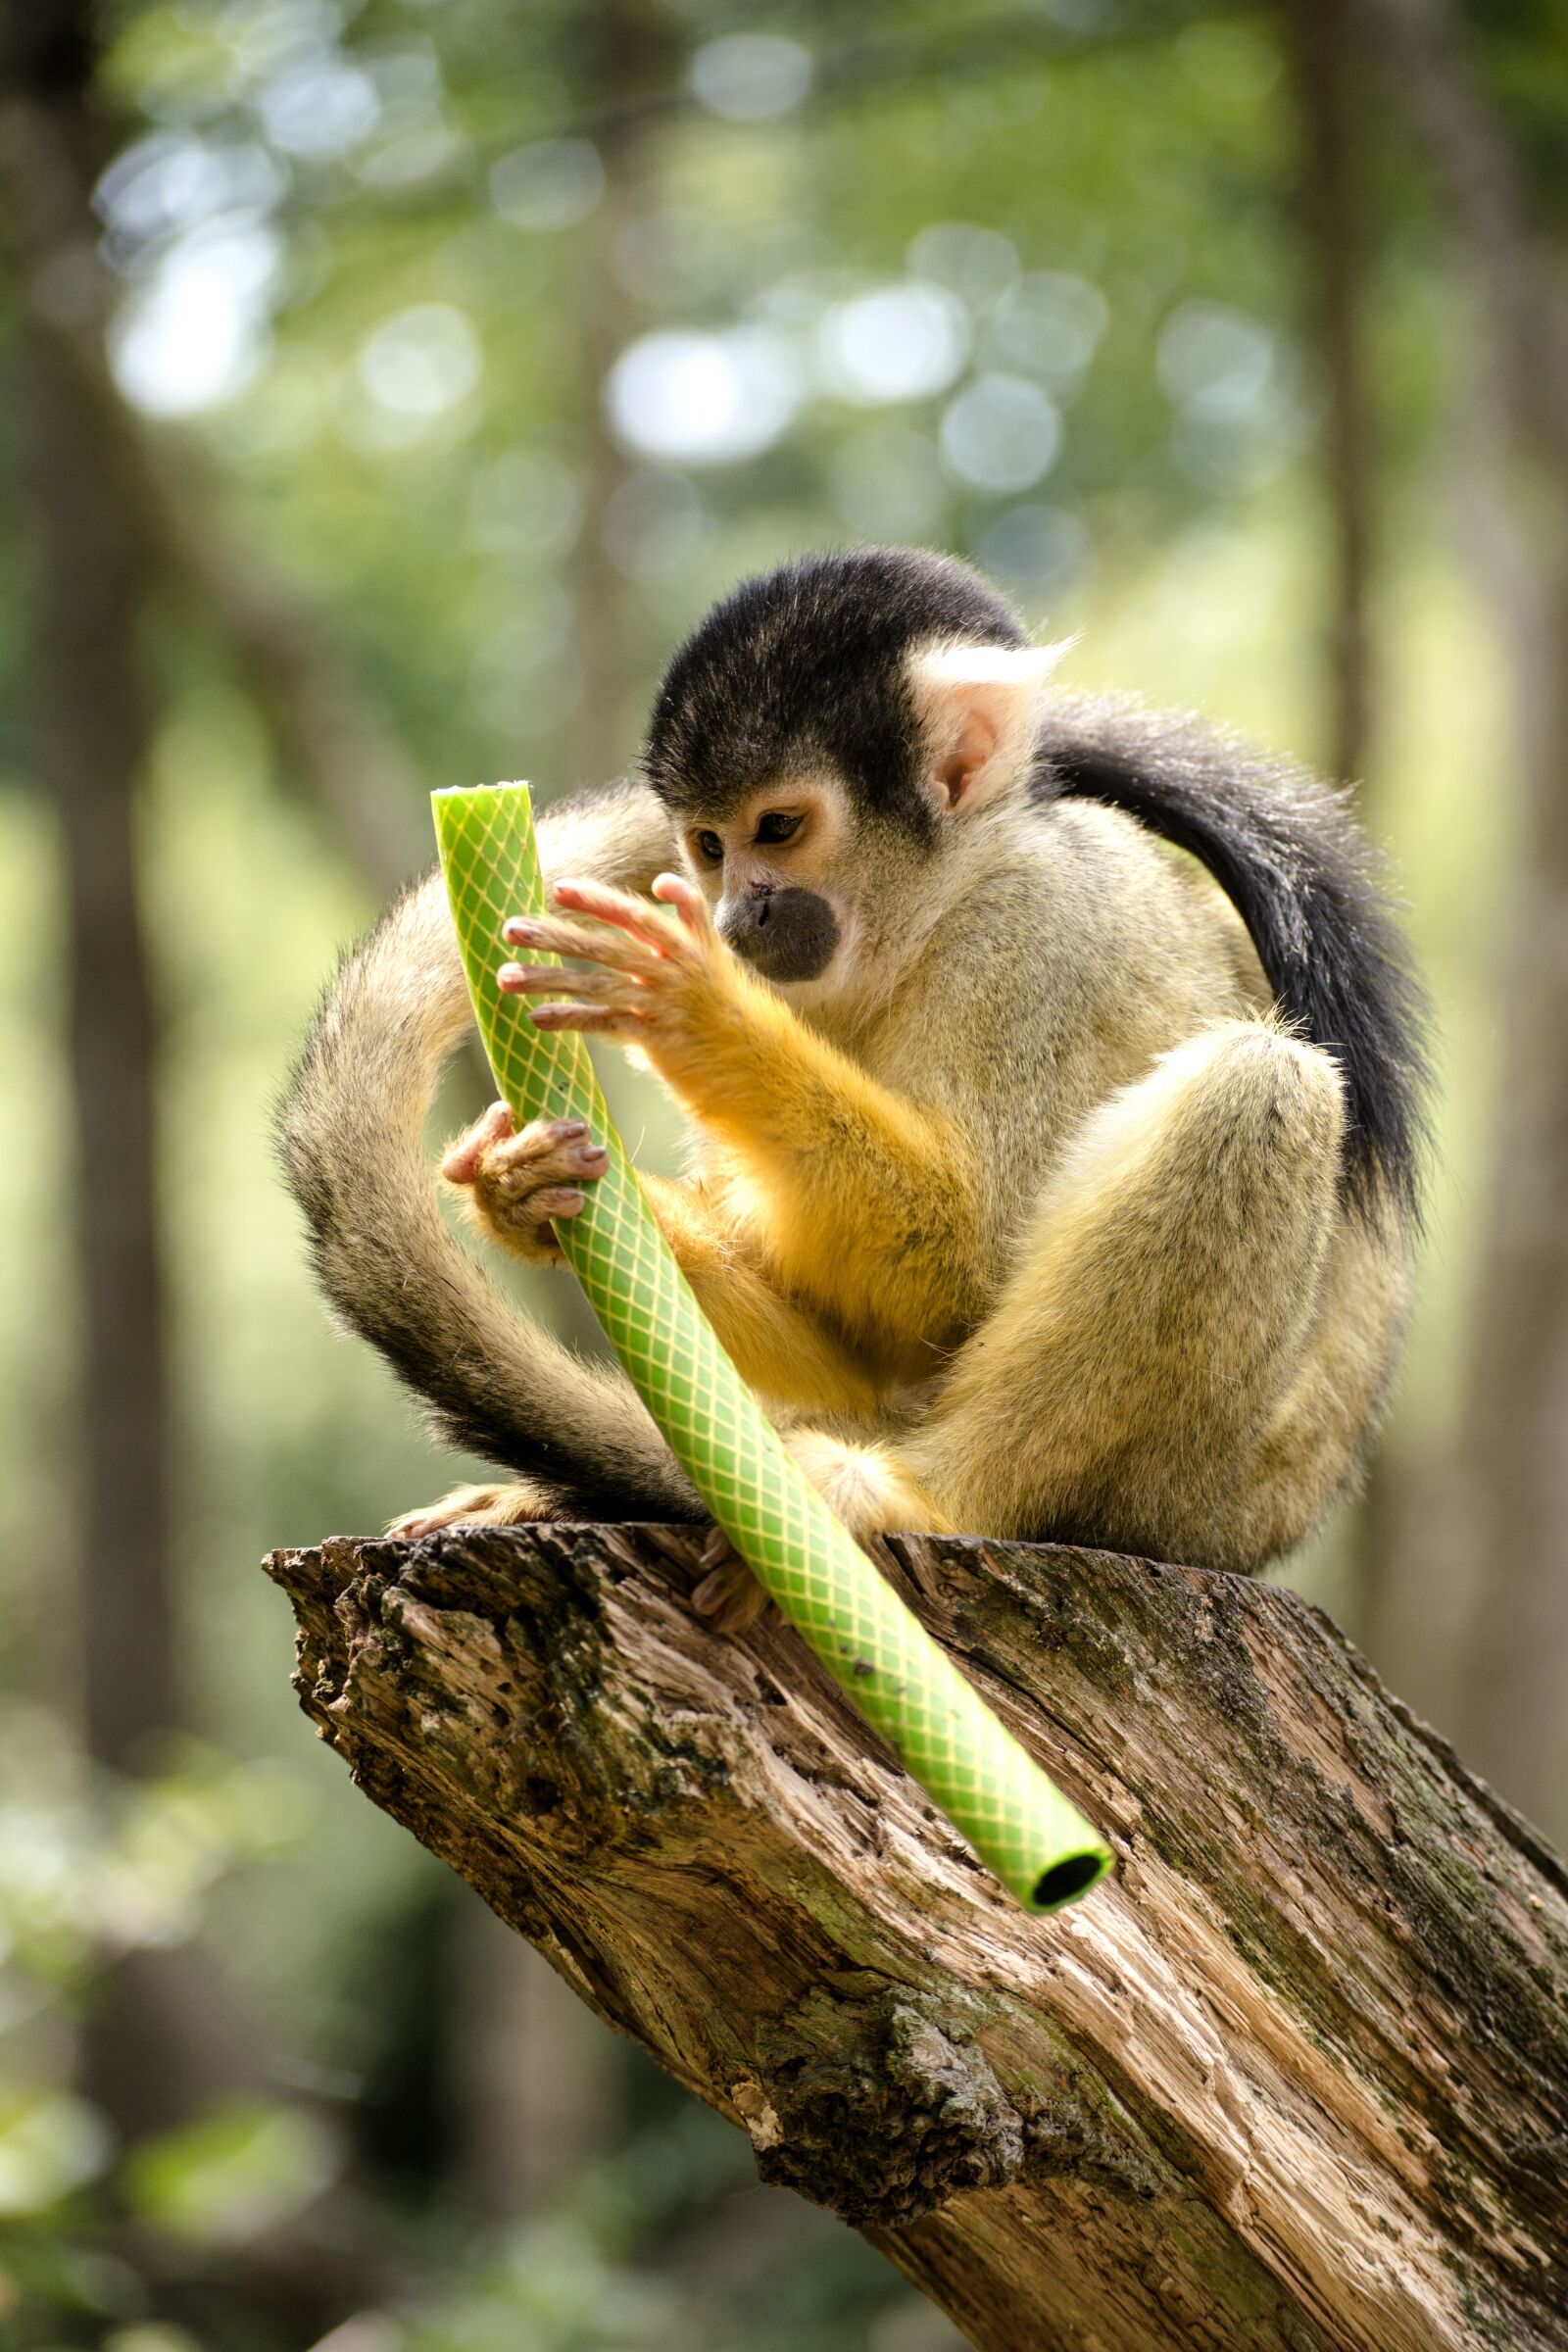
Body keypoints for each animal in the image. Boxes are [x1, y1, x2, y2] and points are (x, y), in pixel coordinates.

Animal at [278, 547, 1427, 1623]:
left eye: (778, 829)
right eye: (708, 844)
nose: (735, 915)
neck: (932, 910)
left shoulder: (1031, 932)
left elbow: (961, 1260)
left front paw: (698, 1012)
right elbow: (864, 1328)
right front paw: (517, 1186)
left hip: (1205, 1488)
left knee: (1261, 1082)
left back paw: (924, 1493)